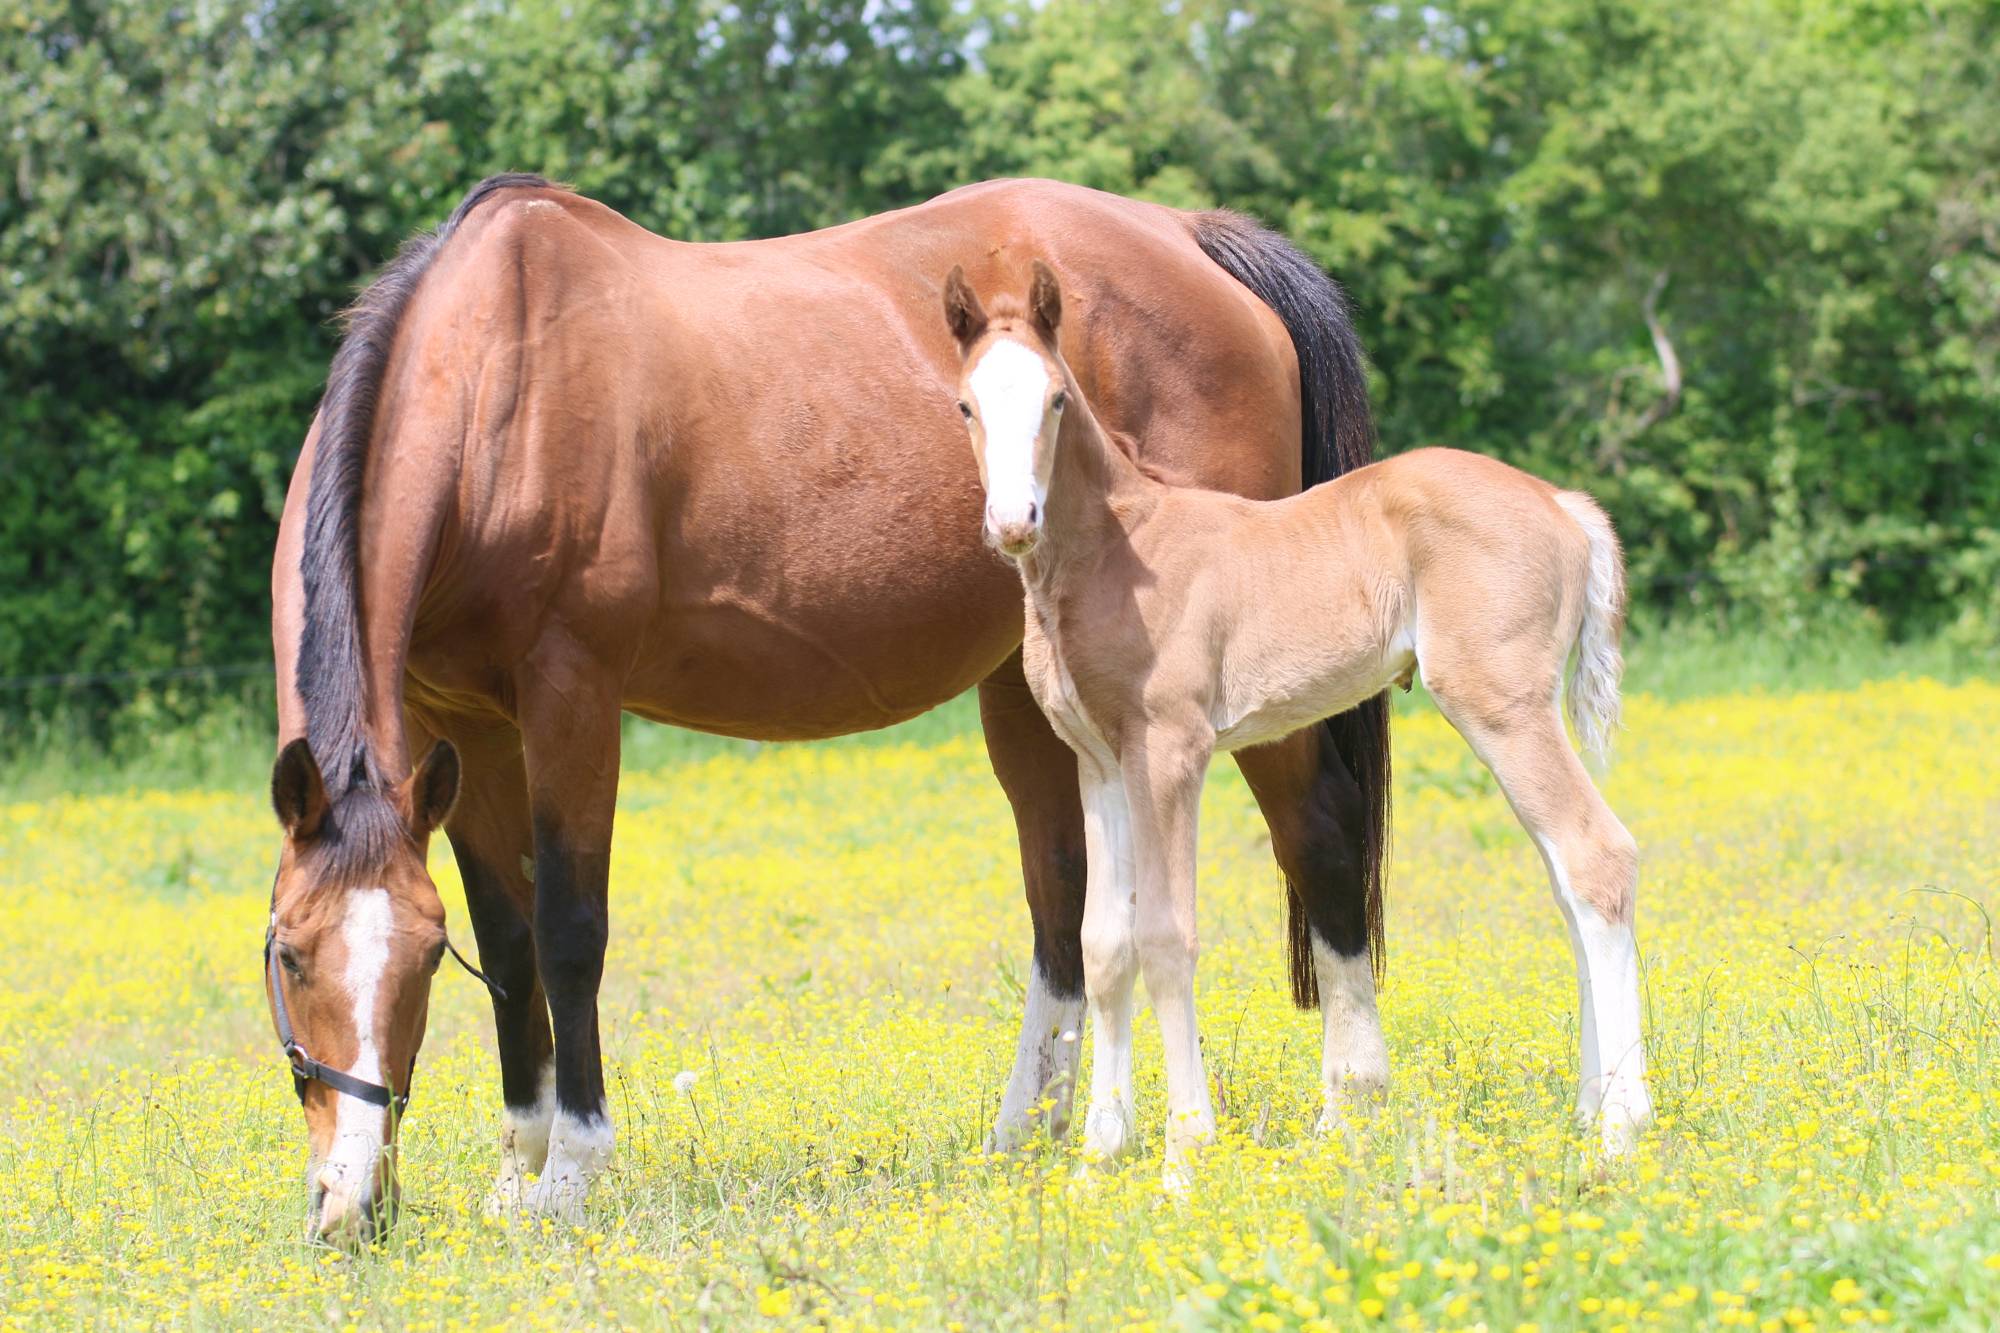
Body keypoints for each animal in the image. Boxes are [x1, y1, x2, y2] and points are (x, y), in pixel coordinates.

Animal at [952, 262, 1656, 1176]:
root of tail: (1566, 504)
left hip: (1502, 705)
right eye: (966, 405)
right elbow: (1105, 945)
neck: (1118, 549)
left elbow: (1166, 937)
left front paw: (1184, 1155)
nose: (1013, 523)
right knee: (1568, 882)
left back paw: (1621, 1130)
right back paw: (1589, 1110)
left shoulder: (1171, 750)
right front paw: (1098, 1160)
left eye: (1058, 399)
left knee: (1597, 857)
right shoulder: (1101, 763)